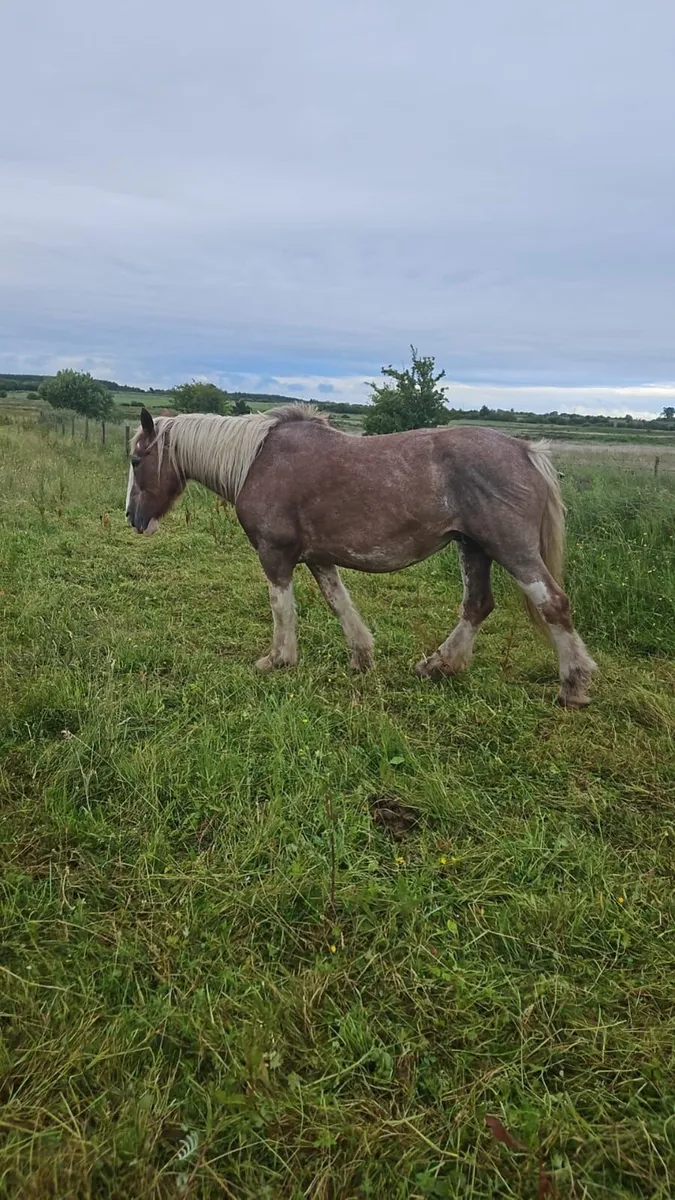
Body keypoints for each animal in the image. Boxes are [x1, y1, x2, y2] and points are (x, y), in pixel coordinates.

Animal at [125, 404, 597, 707]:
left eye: (135, 460)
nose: (132, 517)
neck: (257, 460)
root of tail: (525, 451)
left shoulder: (275, 553)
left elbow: (282, 607)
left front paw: (278, 659)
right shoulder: (318, 556)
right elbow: (340, 603)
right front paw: (361, 656)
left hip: (511, 548)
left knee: (553, 604)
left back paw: (573, 686)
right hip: (474, 547)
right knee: (477, 605)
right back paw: (439, 665)